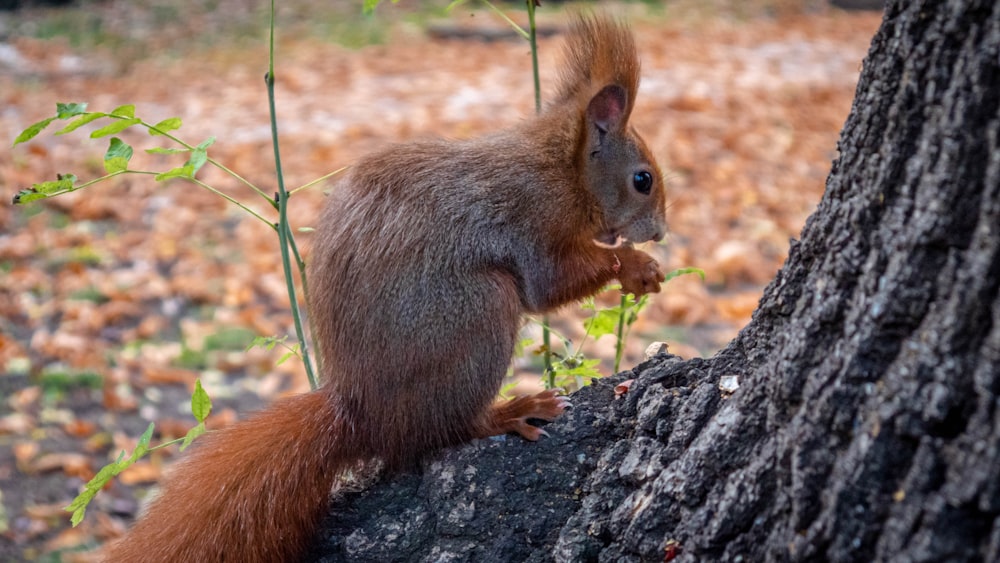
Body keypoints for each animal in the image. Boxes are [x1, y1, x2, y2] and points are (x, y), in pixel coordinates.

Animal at [105, 14, 664, 563]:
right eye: (643, 180)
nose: (659, 232)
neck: (562, 167)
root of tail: (362, 416)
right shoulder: (533, 217)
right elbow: (548, 284)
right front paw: (636, 265)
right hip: (476, 314)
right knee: (443, 431)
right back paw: (508, 412)